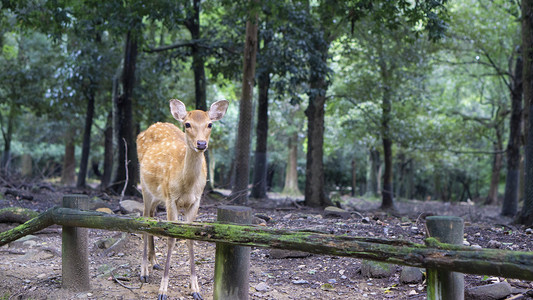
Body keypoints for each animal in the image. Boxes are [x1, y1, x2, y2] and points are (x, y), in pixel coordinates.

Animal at [136, 99, 228, 300]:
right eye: (187, 124)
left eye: (210, 124)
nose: (201, 143)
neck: (186, 185)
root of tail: (144, 131)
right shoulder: (171, 198)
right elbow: (171, 239)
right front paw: (163, 290)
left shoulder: (196, 201)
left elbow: (191, 238)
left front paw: (196, 289)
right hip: (145, 186)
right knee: (144, 218)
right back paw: (144, 271)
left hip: (158, 195)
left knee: (152, 216)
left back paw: (154, 261)